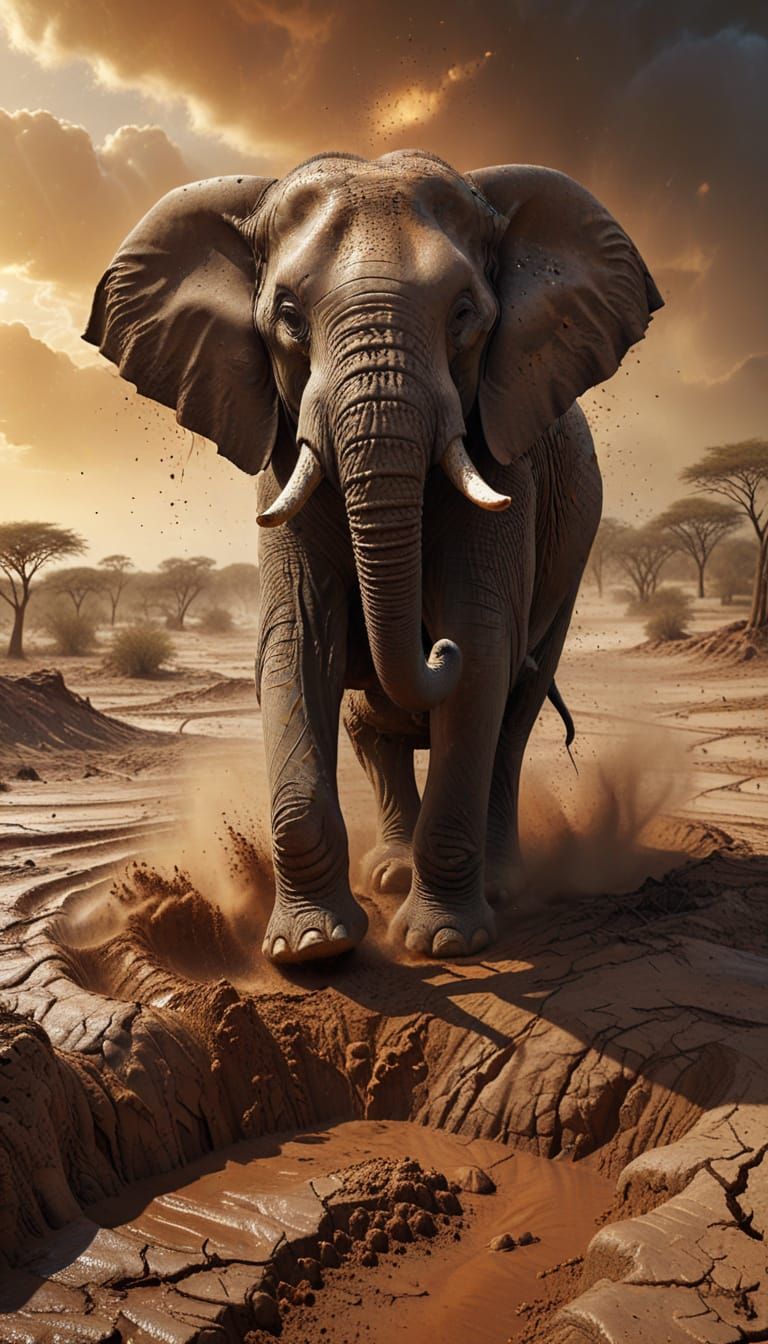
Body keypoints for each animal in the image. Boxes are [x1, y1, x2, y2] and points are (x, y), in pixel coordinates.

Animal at [85, 149, 662, 964]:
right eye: (289, 318)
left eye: (464, 314)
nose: (430, 645)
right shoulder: (280, 450)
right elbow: (299, 642)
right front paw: (310, 949)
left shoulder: (504, 457)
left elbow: (482, 647)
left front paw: (446, 943)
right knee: (373, 727)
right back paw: (387, 873)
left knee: (513, 713)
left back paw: (499, 887)